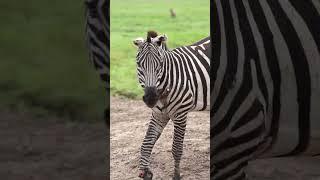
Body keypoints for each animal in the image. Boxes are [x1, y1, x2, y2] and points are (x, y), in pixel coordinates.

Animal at [132, 31, 210, 179]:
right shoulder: (159, 115)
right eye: (139, 64)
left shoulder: (180, 114)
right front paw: (145, 172)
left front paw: (176, 175)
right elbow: (146, 143)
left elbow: (176, 148)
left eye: (160, 64)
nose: (151, 98)